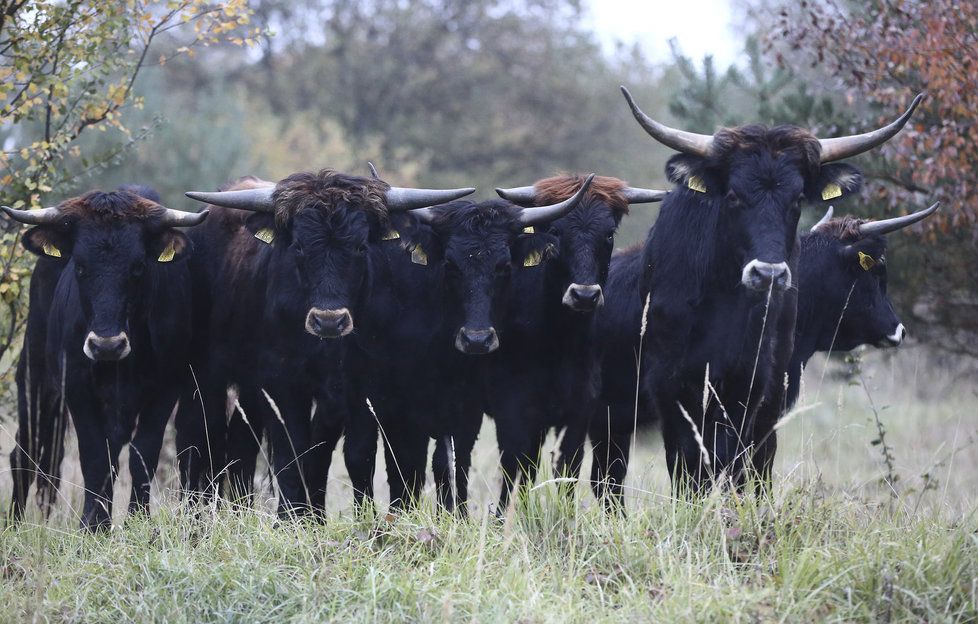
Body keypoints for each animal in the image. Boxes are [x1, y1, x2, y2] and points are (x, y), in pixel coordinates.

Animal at [3, 191, 206, 532]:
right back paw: (13, 524)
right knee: (24, 451)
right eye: (80, 266)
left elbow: (142, 454)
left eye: (138, 266)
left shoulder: (165, 390)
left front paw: (138, 519)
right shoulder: (77, 389)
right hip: (36, 379)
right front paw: (93, 524)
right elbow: (95, 455)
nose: (106, 345)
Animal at [179, 168, 476, 516]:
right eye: (298, 247)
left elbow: (356, 454)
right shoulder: (282, 383)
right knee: (201, 436)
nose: (329, 320)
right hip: (206, 376)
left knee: (242, 445)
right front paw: (290, 517)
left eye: (361, 247)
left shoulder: (362, 387)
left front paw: (362, 518)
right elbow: (291, 452)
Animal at [344, 176, 596, 512]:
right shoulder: (403, 409)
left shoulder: (467, 409)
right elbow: (407, 465)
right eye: (451, 265)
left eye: (503, 266)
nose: (477, 340)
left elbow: (451, 462)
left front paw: (455, 513)